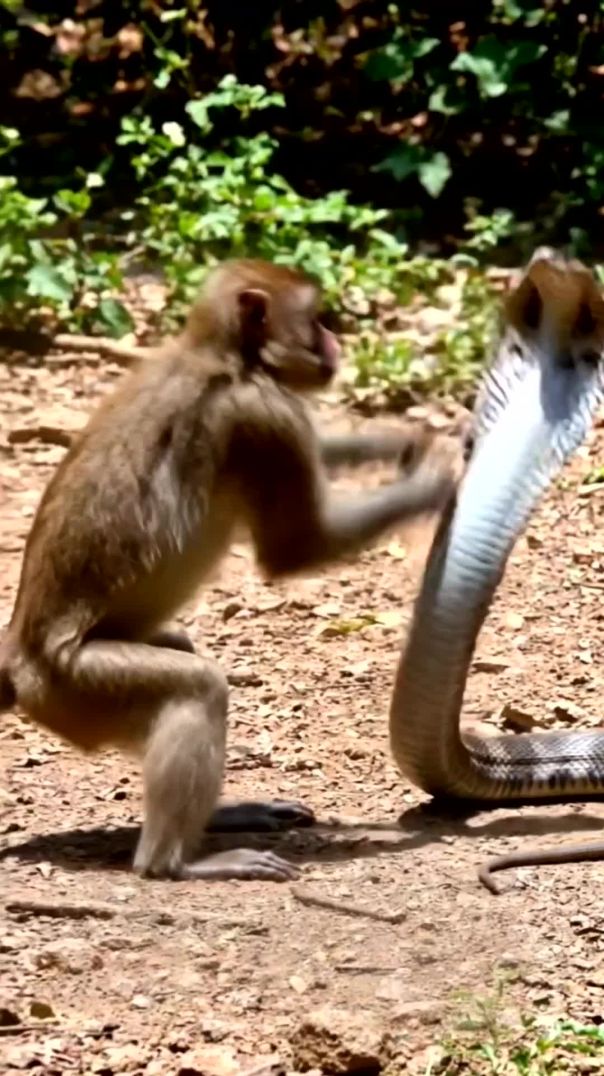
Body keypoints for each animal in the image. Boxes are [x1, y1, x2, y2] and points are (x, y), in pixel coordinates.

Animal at [0, 258, 461, 884]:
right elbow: (295, 549)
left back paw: (220, 818)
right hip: (75, 687)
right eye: (316, 318)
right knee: (198, 687)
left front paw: (397, 441)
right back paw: (173, 862)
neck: (222, 357)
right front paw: (433, 481)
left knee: (179, 653)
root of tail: (18, 658)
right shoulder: (261, 417)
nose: (334, 341)